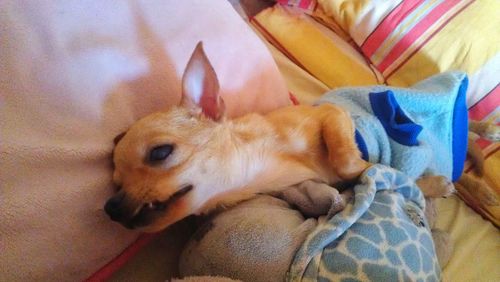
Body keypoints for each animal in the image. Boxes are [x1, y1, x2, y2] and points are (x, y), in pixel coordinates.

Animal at [106, 41, 372, 231]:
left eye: (160, 153)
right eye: (117, 184)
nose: (110, 207)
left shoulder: (331, 112)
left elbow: (347, 164)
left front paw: (367, 167)